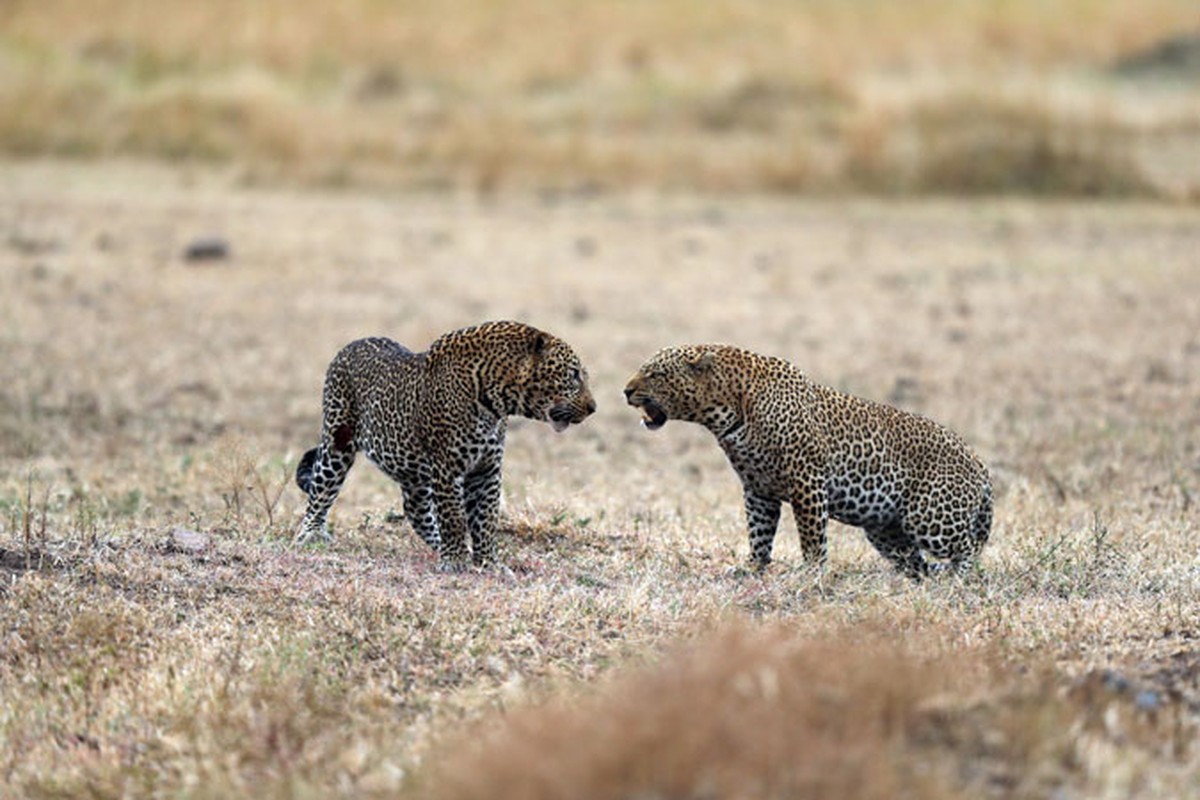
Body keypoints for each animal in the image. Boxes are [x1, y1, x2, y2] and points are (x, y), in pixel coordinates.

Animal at [295, 321, 595, 568]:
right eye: (573, 374)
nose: (593, 407)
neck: (496, 401)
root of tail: (352, 344)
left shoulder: (486, 468)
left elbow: (486, 518)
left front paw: (487, 562)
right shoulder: (448, 467)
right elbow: (453, 516)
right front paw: (457, 561)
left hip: (413, 474)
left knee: (416, 511)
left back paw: (443, 547)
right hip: (337, 442)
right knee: (321, 490)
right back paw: (309, 534)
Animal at [624, 340, 988, 578]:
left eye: (655, 374)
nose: (625, 391)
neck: (727, 408)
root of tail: (979, 463)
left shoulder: (806, 481)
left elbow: (812, 536)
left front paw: (812, 573)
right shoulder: (758, 489)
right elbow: (758, 532)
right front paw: (753, 568)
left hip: (928, 517)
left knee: (969, 548)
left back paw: (959, 578)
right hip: (885, 529)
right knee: (917, 562)